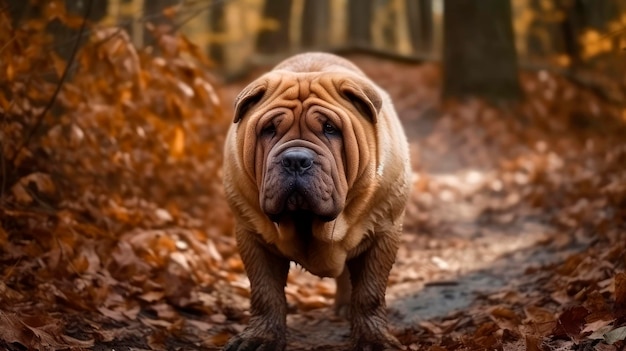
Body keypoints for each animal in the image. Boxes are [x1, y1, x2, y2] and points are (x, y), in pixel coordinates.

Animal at [222, 52, 412, 351]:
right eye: (268, 129)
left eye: (330, 128)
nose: (295, 160)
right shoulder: (252, 236)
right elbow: (265, 293)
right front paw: (260, 339)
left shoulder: (384, 232)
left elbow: (370, 293)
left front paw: (374, 340)